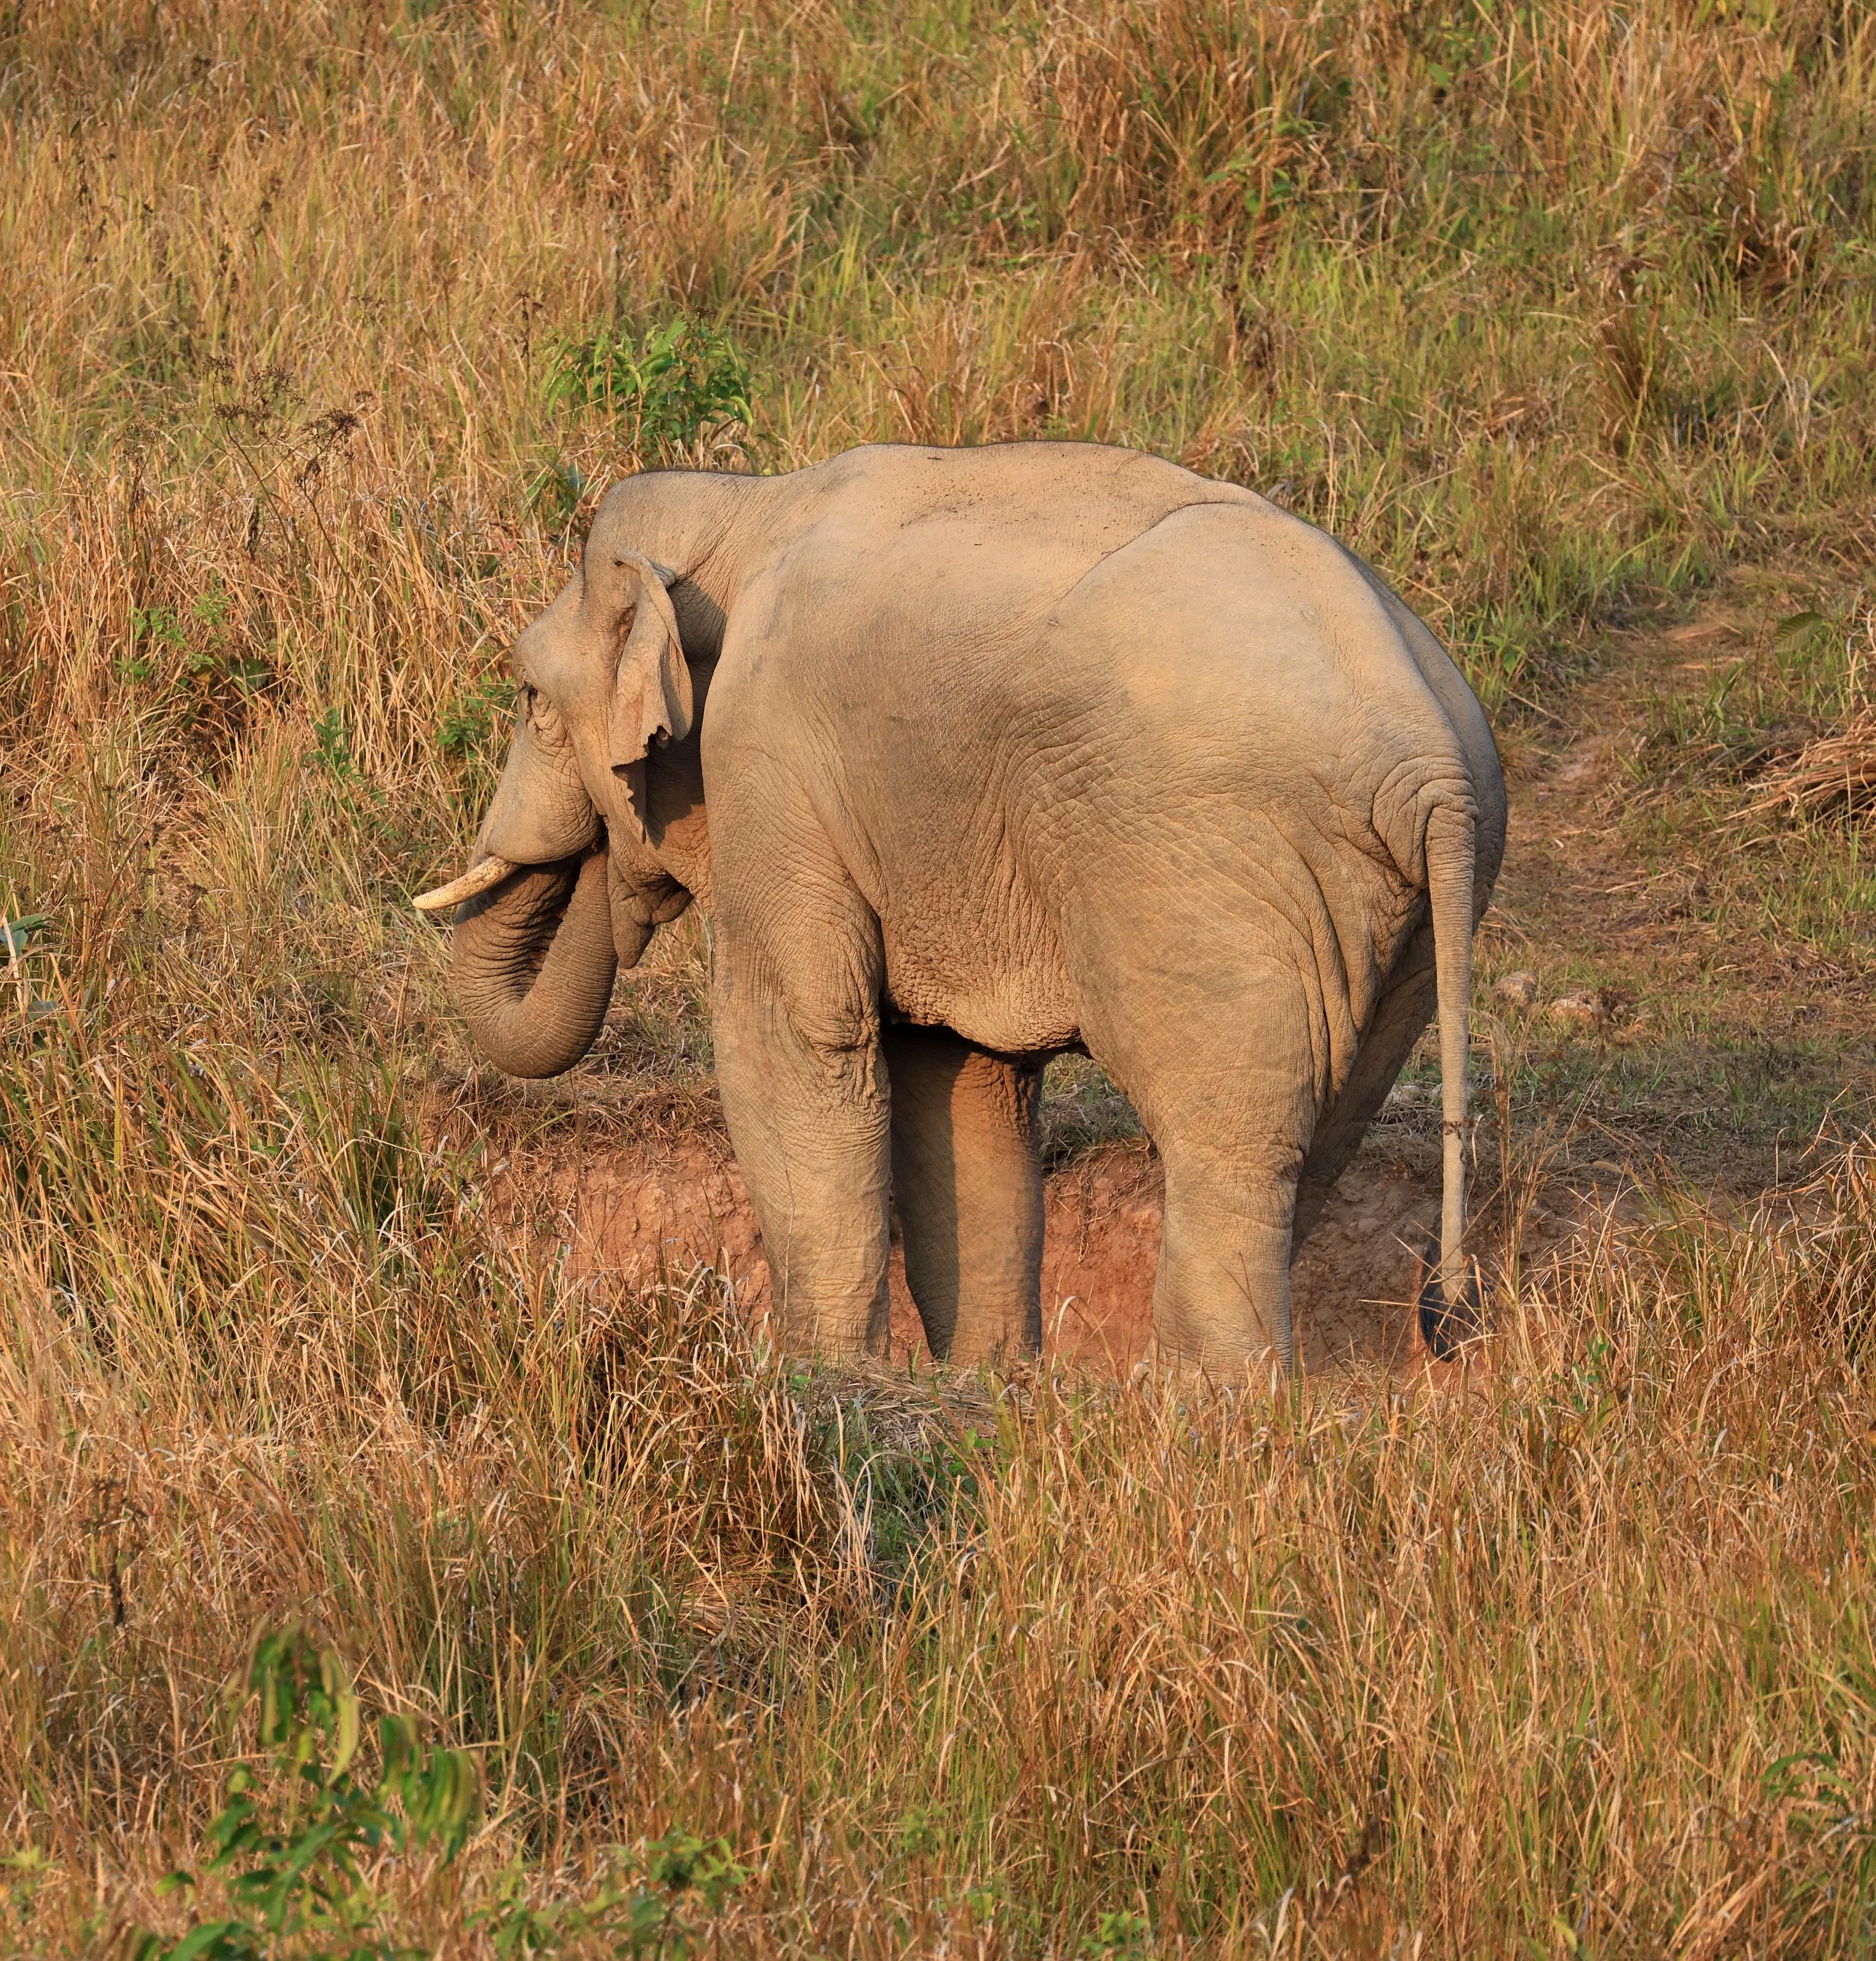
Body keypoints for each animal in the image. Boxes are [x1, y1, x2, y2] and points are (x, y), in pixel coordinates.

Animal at [415, 441, 1506, 1376]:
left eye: (528, 699)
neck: (744, 506)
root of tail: (1431, 767)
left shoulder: (769, 761)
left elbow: (794, 1041)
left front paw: (821, 1376)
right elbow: (964, 1081)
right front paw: (987, 1381)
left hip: (1207, 866)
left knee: (1227, 1153)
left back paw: (1204, 1408)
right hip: (1395, 919)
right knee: (1320, 1139)